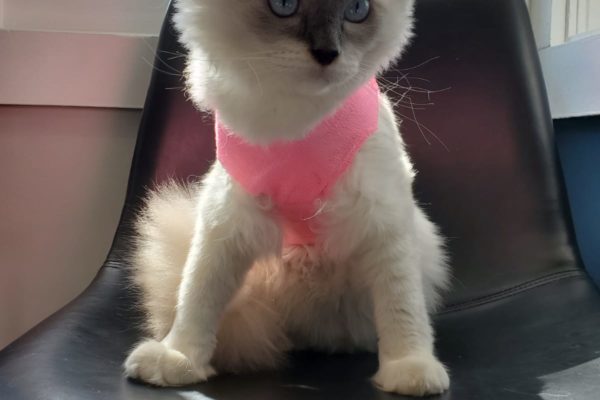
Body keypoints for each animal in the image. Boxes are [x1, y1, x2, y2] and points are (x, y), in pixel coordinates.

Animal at [123, 0, 450, 394]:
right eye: (284, 6)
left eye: (357, 10)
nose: (327, 53)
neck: (295, 122)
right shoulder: (228, 216)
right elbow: (197, 295)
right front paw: (179, 358)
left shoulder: (382, 218)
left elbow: (402, 306)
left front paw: (410, 370)